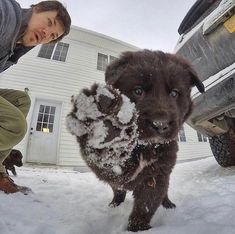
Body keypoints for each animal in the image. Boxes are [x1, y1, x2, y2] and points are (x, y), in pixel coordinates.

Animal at [66, 49, 204, 232]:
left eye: (174, 93)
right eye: (138, 91)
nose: (160, 124)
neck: (143, 146)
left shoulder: (157, 174)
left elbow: (146, 204)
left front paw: (137, 228)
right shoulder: (106, 167)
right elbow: (108, 160)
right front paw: (104, 124)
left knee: (163, 192)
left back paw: (168, 205)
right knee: (118, 190)